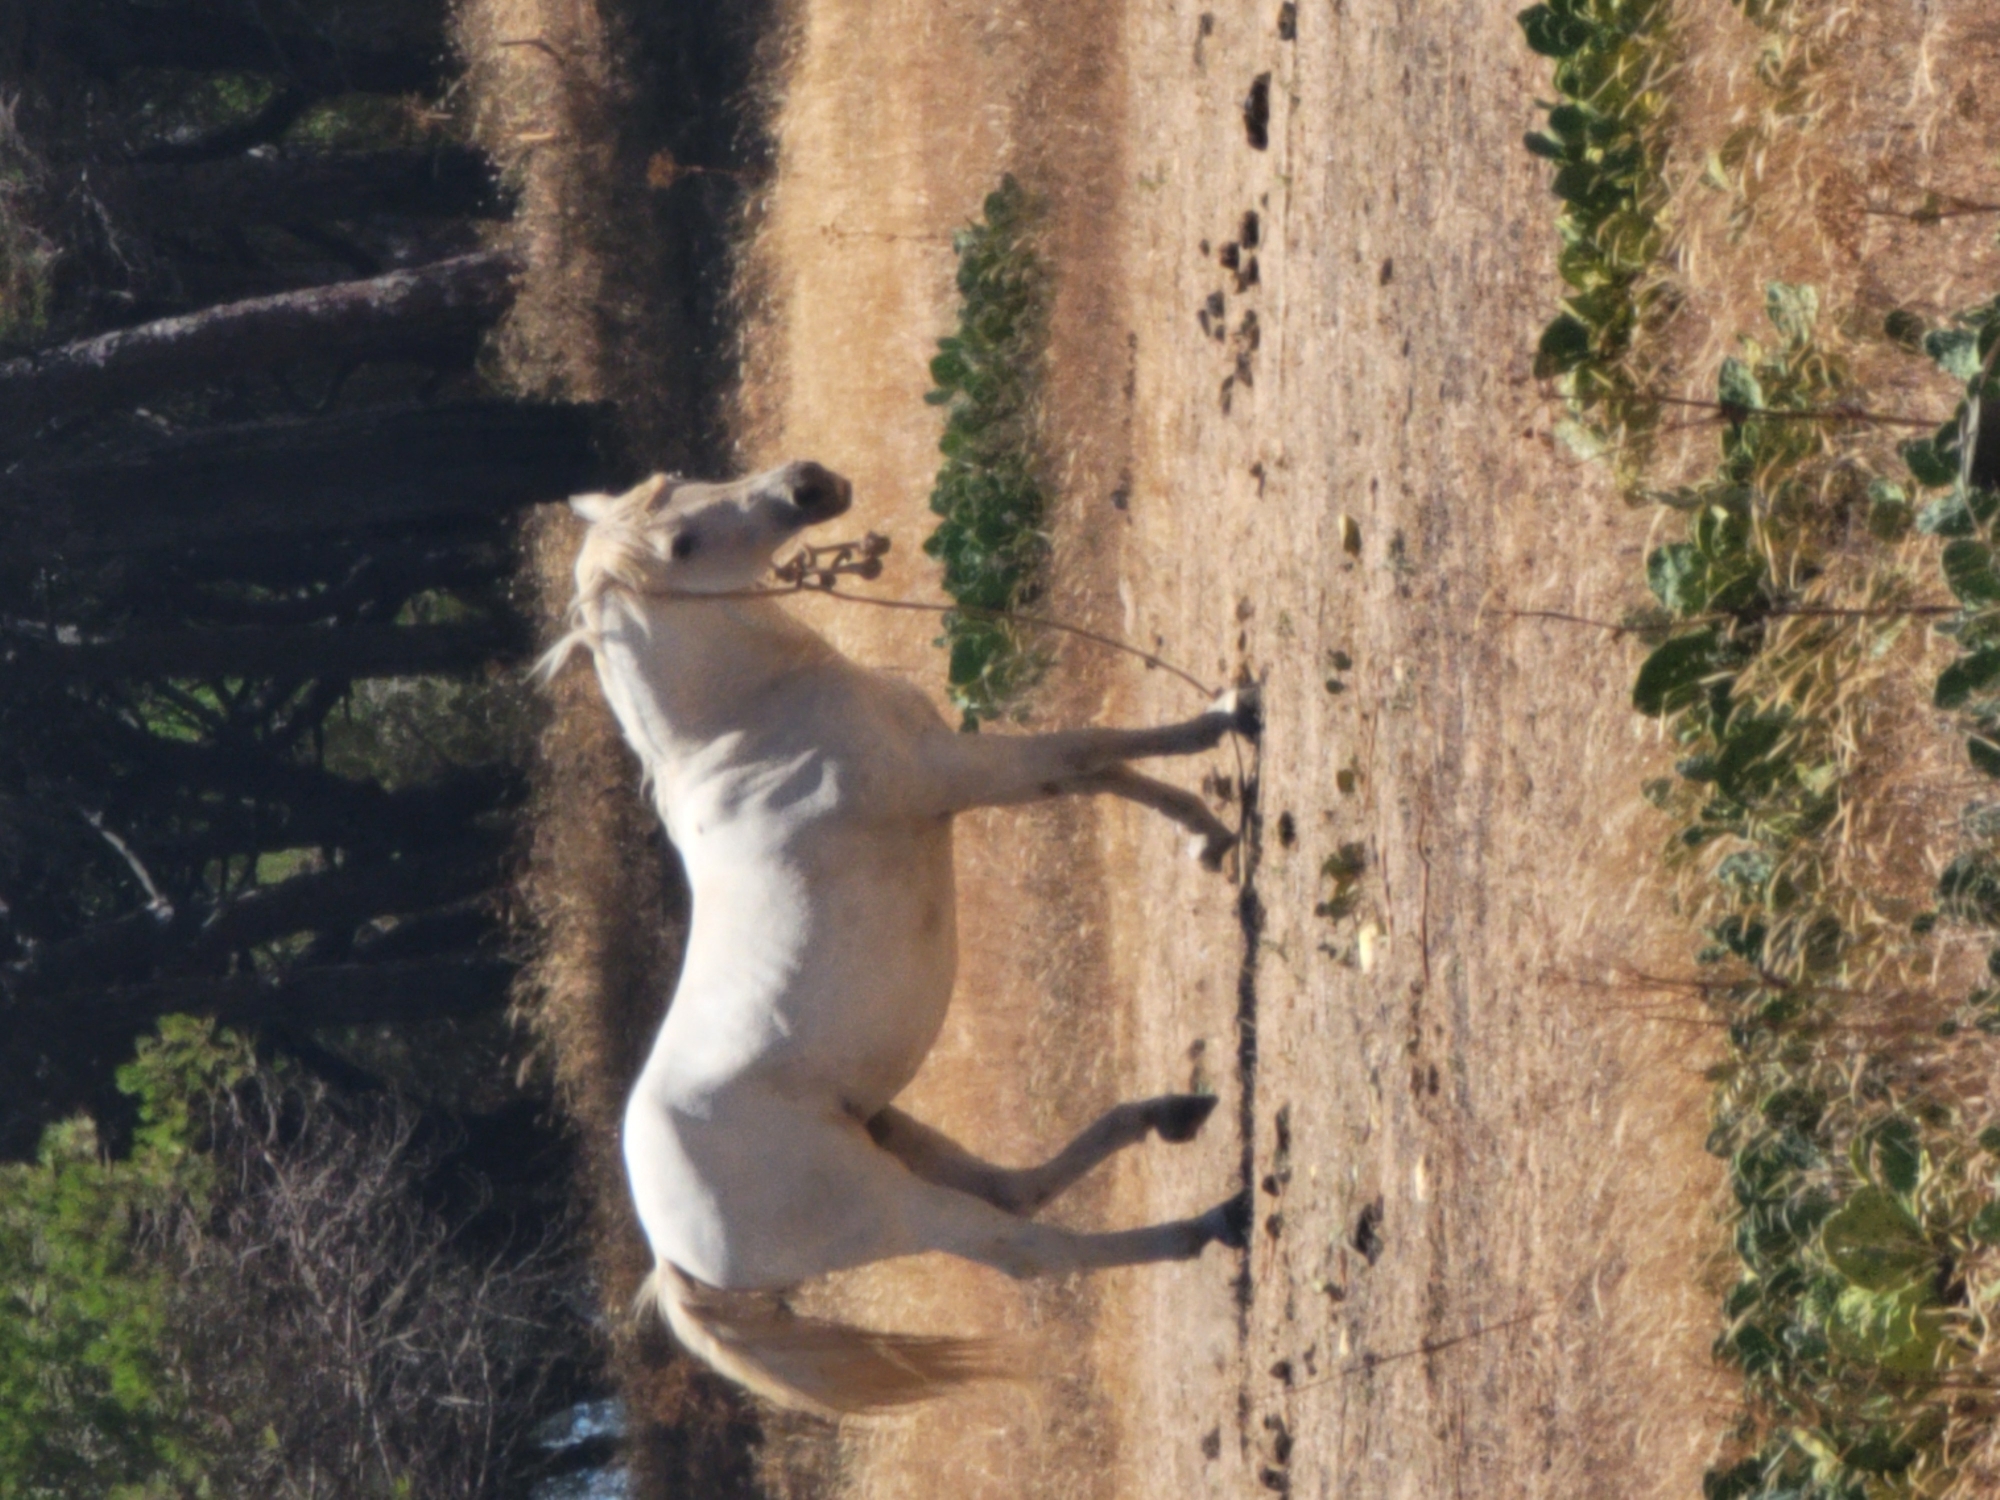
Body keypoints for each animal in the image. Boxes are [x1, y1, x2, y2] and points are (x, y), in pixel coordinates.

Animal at [544, 460, 1258, 1416]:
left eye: (681, 481)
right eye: (681, 545)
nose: (807, 485)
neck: (750, 731)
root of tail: (672, 1257)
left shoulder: (973, 768)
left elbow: (1106, 773)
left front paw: (1209, 837)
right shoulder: (966, 772)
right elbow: (1096, 751)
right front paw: (1230, 716)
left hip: (891, 1127)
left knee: (1015, 1190)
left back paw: (1172, 1114)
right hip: (893, 1210)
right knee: (1028, 1249)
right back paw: (1214, 1221)